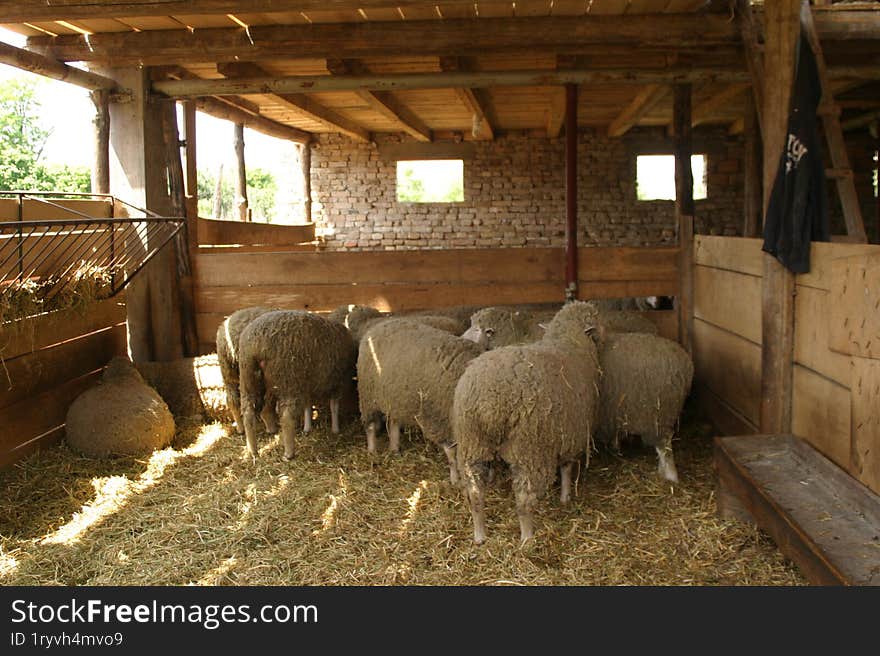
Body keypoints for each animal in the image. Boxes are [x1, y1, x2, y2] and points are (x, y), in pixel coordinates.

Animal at [239, 310, 356, 458]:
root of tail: (257, 345)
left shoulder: (306, 385)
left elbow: (307, 406)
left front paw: (307, 428)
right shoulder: (338, 382)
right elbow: (333, 406)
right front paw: (335, 429)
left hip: (249, 377)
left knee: (249, 413)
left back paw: (253, 449)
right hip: (289, 379)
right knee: (286, 417)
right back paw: (289, 453)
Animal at [354, 318, 484, 482]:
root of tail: (376, 328)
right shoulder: (440, 420)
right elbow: (452, 455)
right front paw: (455, 479)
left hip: (395, 397)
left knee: (393, 423)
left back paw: (394, 449)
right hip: (368, 396)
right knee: (370, 426)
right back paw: (372, 451)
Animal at [454, 302, 604, 544]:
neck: (569, 340)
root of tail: (489, 400)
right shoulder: (572, 432)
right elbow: (567, 468)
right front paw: (565, 496)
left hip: (472, 440)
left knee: (475, 492)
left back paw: (479, 535)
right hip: (529, 447)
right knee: (524, 499)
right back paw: (527, 538)